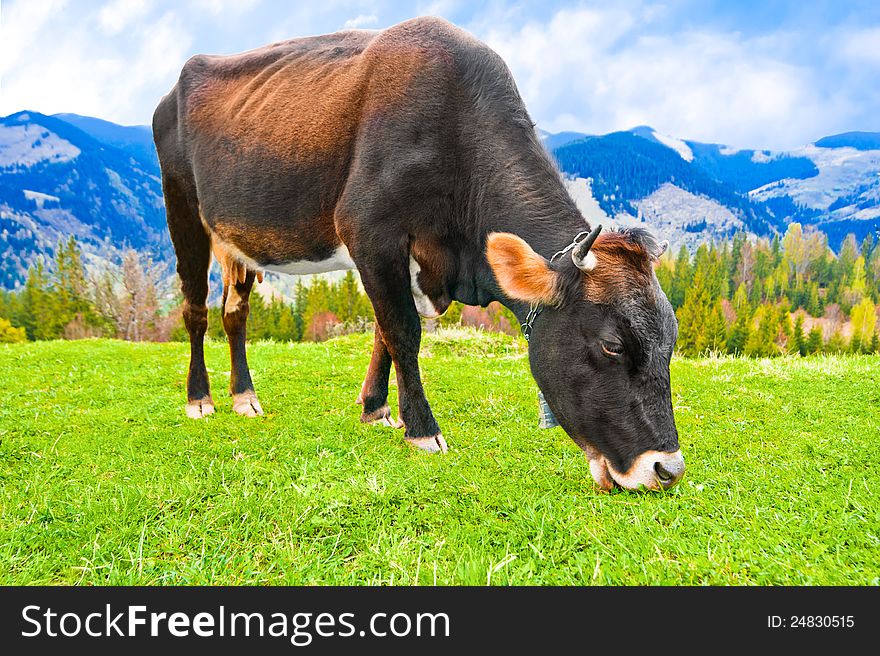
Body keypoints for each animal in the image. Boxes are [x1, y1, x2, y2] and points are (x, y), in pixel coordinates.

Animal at [151, 15, 688, 490]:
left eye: (671, 341)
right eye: (611, 345)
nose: (667, 469)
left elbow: (383, 331)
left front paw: (376, 409)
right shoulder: (368, 229)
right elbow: (402, 331)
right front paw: (423, 431)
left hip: (236, 238)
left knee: (235, 313)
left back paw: (244, 397)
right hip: (182, 206)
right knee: (195, 309)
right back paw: (200, 399)